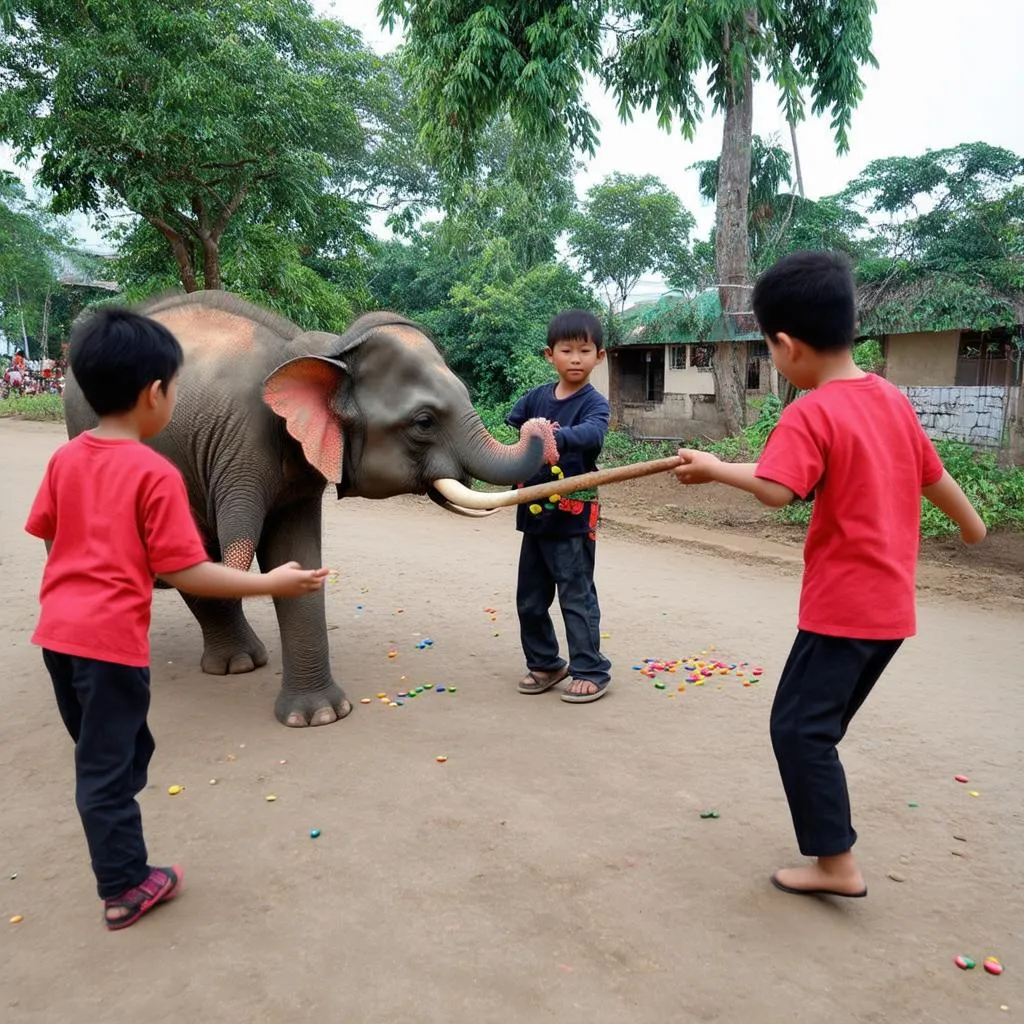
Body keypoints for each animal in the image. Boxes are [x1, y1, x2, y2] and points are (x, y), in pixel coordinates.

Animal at [64, 290, 561, 729]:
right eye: (423, 422)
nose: (540, 424)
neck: (321, 351)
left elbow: (296, 553)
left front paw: (319, 716)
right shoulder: (239, 448)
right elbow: (233, 554)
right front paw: (318, 715)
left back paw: (244, 663)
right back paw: (230, 662)